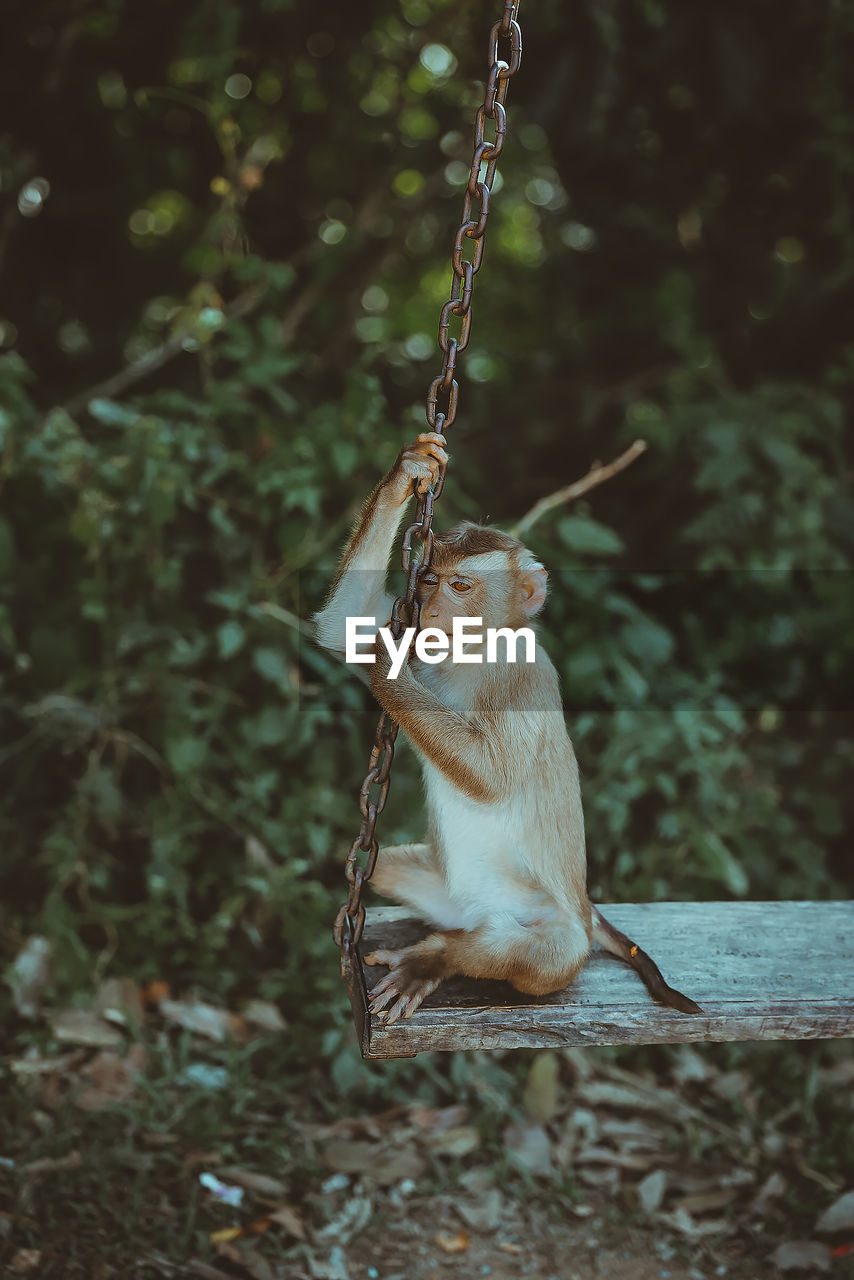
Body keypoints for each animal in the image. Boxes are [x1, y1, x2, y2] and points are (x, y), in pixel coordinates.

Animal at [313, 435, 701, 1024]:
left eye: (460, 585)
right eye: (429, 581)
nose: (429, 610)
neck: (473, 654)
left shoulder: (525, 676)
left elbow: (491, 778)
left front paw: (385, 659)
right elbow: (342, 626)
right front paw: (409, 470)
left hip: (549, 921)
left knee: (547, 955)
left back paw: (438, 959)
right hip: (441, 892)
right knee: (373, 870)